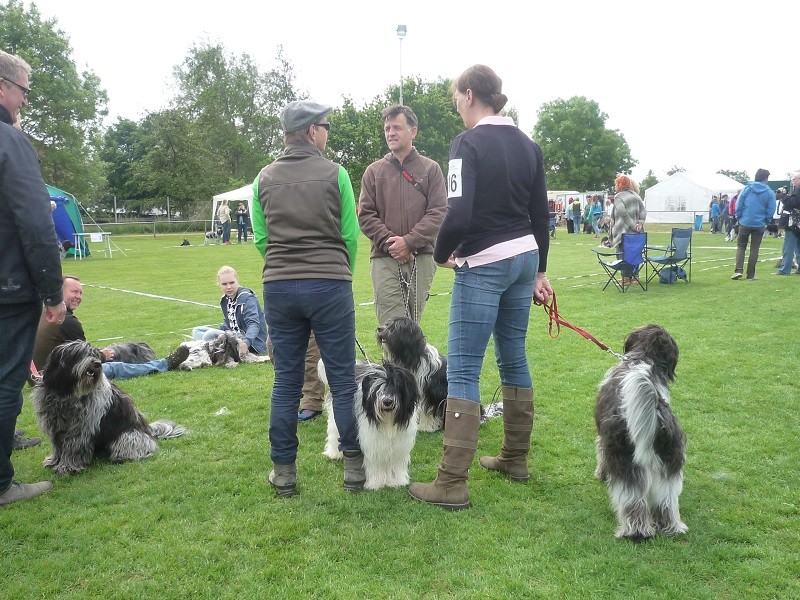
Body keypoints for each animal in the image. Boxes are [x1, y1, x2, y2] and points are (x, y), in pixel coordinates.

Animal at [31, 342, 188, 474]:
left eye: (95, 354)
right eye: (79, 354)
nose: (97, 364)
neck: (68, 394)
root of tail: (150, 432)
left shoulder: (79, 429)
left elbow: (72, 449)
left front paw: (67, 467)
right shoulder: (56, 426)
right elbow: (58, 447)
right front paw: (54, 461)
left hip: (127, 436)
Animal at [318, 358, 418, 490]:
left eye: (396, 386)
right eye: (378, 388)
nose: (387, 401)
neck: (388, 421)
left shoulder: (399, 444)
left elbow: (395, 462)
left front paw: (395, 481)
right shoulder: (373, 441)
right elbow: (376, 462)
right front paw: (376, 483)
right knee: (334, 433)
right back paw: (334, 453)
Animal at [592, 326, 688, 540]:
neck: (643, 358)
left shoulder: (603, 439)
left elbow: (600, 455)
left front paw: (600, 474)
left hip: (625, 464)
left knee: (633, 503)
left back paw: (635, 533)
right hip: (670, 462)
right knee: (666, 502)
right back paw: (671, 527)